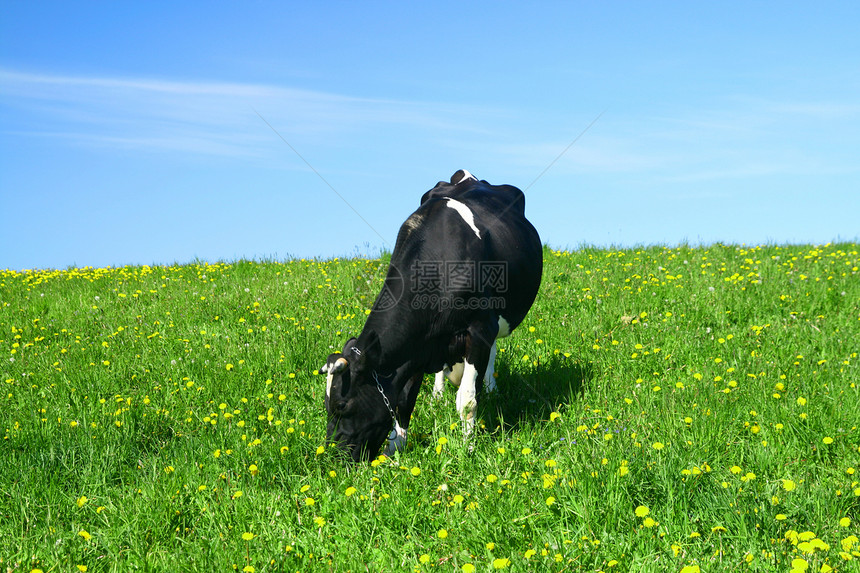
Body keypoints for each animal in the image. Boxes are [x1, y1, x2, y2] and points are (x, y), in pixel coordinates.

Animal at [320, 169, 540, 460]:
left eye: (342, 405)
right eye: (327, 405)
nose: (335, 457)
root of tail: (466, 177)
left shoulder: (480, 327)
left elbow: (467, 400)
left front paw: (468, 447)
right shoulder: (416, 347)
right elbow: (403, 401)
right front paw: (395, 451)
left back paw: (491, 387)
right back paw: (437, 395)